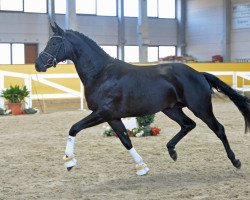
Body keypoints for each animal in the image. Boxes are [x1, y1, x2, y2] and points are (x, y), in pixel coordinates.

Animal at [35, 22, 250, 176]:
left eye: (54, 43)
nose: (38, 64)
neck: (101, 74)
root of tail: (198, 74)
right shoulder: (112, 117)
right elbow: (126, 140)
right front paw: (142, 167)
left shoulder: (102, 113)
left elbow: (74, 128)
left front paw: (69, 161)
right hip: (171, 109)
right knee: (188, 125)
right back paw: (172, 151)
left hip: (201, 107)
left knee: (219, 129)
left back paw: (236, 161)